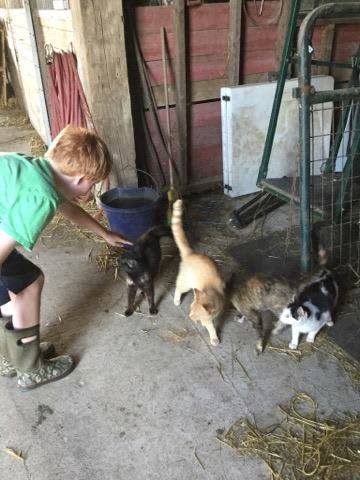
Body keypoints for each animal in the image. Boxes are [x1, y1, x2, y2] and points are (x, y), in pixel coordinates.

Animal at [172, 199, 225, 344]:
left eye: (193, 313)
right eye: (190, 310)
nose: (190, 316)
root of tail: (191, 253)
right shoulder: (208, 320)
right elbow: (211, 327)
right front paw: (214, 337)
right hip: (185, 284)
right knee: (178, 289)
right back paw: (176, 300)